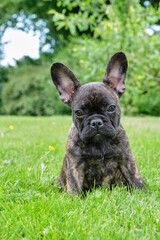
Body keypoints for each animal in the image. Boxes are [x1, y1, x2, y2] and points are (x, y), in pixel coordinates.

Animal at [50, 52, 146, 195]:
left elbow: (135, 178)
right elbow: (74, 186)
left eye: (111, 108)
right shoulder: (75, 166)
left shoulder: (127, 159)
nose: (96, 122)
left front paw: (143, 195)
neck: (100, 144)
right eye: (79, 112)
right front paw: (74, 199)